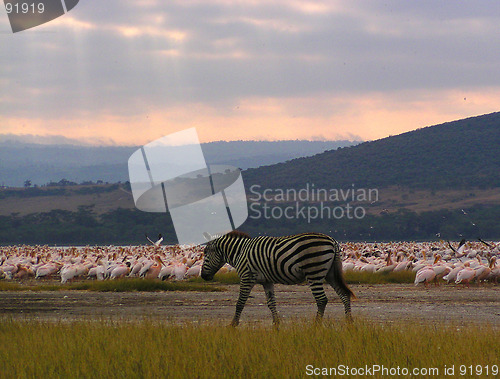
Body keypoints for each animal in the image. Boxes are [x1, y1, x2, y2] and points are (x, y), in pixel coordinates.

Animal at [201, 230, 354, 328]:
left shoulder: (247, 277)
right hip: (330, 273)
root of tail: (332, 241)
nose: (203, 276)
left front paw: (233, 324)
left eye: (205, 253)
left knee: (322, 300)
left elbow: (240, 302)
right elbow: (271, 303)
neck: (240, 252)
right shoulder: (267, 281)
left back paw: (316, 326)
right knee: (344, 294)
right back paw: (349, 323)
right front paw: (276, 324)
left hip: (314, 272)